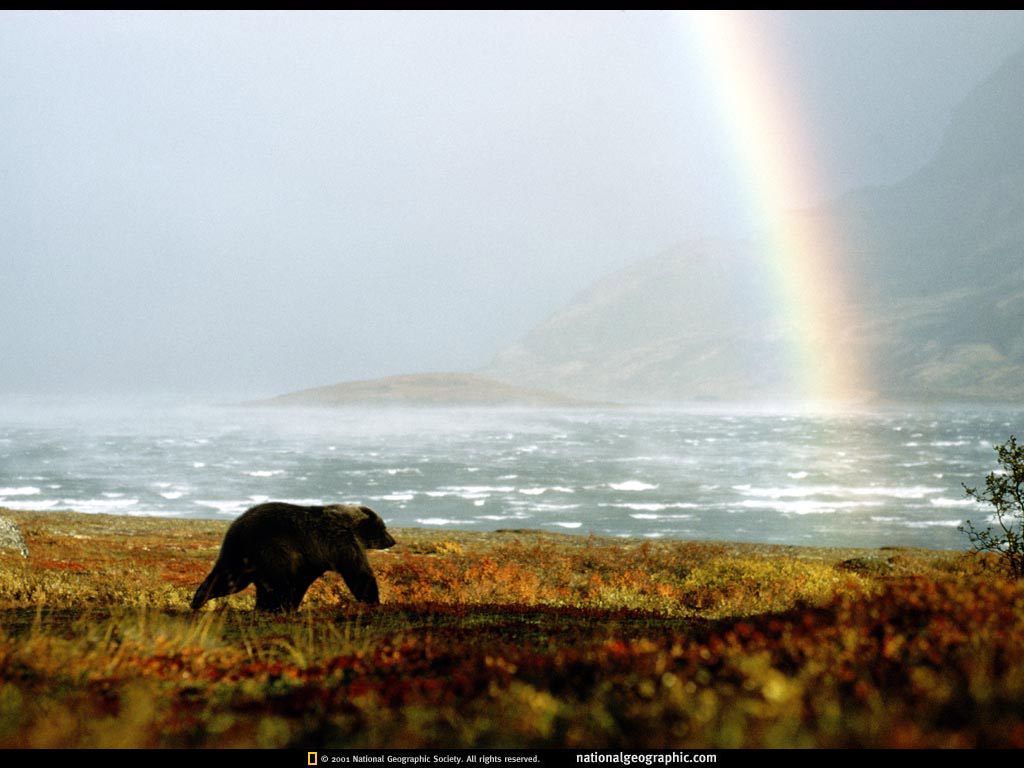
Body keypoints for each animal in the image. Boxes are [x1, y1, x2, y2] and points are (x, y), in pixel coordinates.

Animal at [190, 505, 397, 614]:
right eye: (384, 528)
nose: (393, 540)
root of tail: (238, 526)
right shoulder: (341, 543)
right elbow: (358, 573)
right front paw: (374, 600)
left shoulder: (311, 560)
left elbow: (301, 582)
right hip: (271, 548)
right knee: (273, 582)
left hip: (239, 555)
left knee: (228, 578)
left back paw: (198, 599)